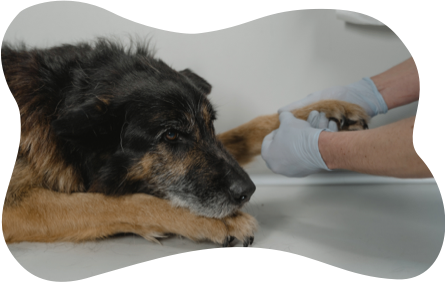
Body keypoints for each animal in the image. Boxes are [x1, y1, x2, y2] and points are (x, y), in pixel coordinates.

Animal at [0, 37, 370, 247]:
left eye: (210, 124)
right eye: (171, 135)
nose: (248, 191)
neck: (57, 99)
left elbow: (249, 129)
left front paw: (325, 109)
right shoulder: (15, 207)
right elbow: (116, 203)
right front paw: (218, 221)